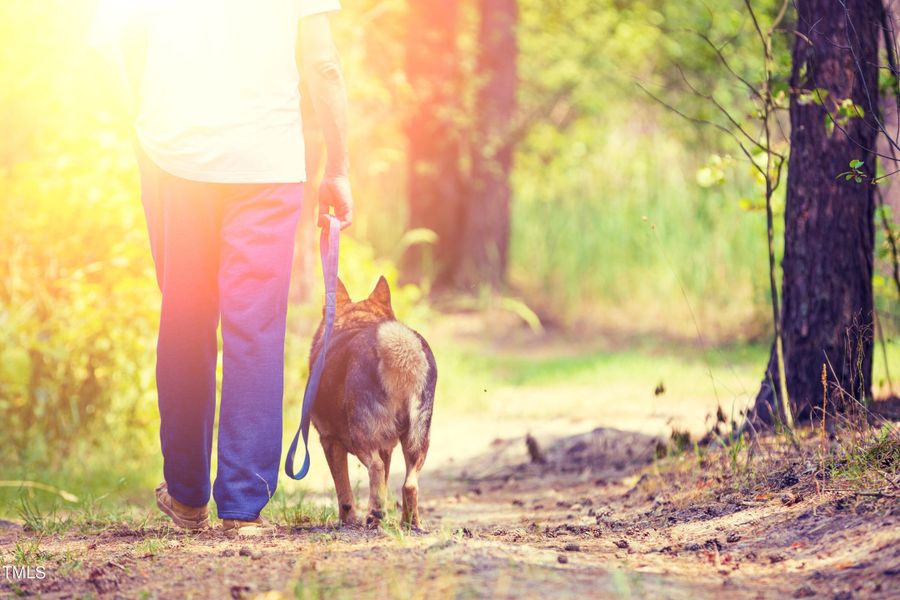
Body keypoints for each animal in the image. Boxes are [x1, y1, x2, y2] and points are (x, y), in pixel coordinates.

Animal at [310, 274, 436, 528]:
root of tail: (401, 350)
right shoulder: (387, 447)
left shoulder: (329, 441)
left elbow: (344, 491)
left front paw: (347, 520)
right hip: (417, 440)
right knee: (409, 484)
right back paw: (410, 523)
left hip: (362, 436)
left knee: (375, 469)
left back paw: (374, 516)